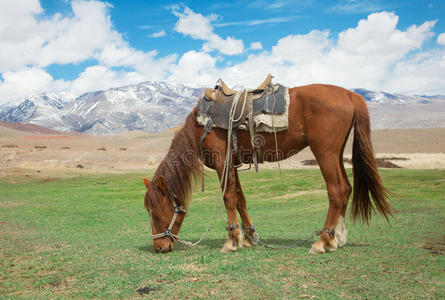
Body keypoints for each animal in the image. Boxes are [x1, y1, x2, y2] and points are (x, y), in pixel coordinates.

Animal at [143, 83, 392, 254]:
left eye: (158, 210)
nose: (159, 247)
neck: (201, 126)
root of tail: (350, 94)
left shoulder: (222, 162)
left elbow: (228, 198)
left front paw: (231, 241)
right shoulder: (232, 165)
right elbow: (240, 199)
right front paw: (249, 236)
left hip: (325, 153)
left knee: (337, 190)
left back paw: (323, 241)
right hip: (337, 153)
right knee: (347, 188)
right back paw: (337, 238)